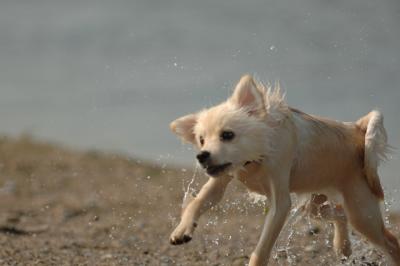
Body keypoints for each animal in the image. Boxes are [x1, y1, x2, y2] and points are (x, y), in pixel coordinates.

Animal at [168, 74, 400, 264]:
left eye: (227, 135)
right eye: (201, 140)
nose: (202, 156)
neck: (255, 159)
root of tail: (356, 129)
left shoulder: (280, 202)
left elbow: (261, 249)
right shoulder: (221, 178)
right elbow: (197, 202)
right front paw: (182, 230)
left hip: (361, 212)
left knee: (390, 241)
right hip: (316, 204)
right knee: (340, 214)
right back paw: (342, 247)